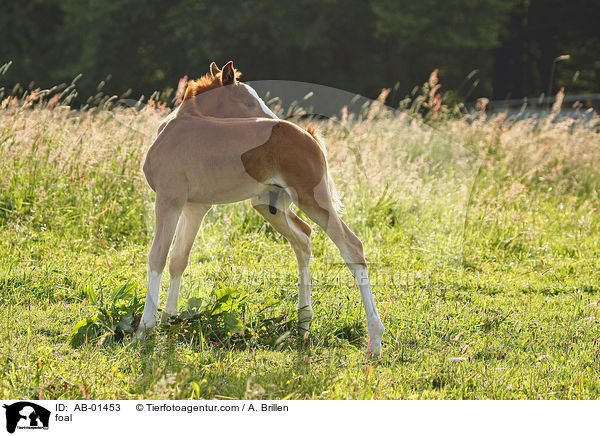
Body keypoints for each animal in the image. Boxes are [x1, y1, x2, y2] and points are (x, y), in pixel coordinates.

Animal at [137, 60, 384, 354]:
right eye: (248, 102)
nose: (272, 117)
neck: (179, 126)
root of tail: (310, 136)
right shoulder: (195, 206)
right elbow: (178, 258)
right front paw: (170, 320)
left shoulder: (169, 199)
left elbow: (158, 257)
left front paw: (145, 328)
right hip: (268, 206)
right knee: (303, 237)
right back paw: (304, 322)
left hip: (312, 199)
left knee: (351, 246)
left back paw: (375, 339)